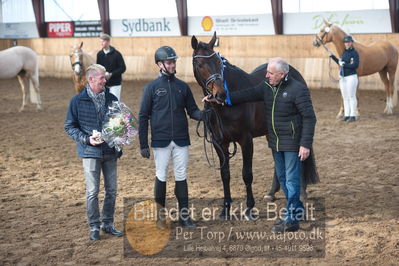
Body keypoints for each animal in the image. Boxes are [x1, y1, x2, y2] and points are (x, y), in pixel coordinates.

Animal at [191, 32, 318, 220]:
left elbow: (247, 174)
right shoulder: (219, 143)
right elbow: (225, 175)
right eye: (199, 64)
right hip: (271, 132)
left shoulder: (246, 140)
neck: (225, 108)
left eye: (219, 63)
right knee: (278, 159)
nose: (220, 94)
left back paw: (301, 192)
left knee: (298, 157)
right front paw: (225, 209)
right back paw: (271, 192)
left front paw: (250, 208)